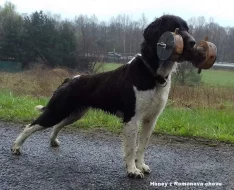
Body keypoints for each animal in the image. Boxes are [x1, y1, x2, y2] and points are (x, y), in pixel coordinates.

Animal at [11, 14, 205, 178]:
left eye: (187, 28)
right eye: (175, 29)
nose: (194, 42)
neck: (152, 73)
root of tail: (69, 79)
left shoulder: (151, 119)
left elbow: (142, 146)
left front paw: (141, 166)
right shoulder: (132, 118)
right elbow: (131, 148)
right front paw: (132, 171)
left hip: (75, 113)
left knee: (56, 126)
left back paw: (52, 142)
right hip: (57, 110)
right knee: (31, 125)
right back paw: (16, 147)